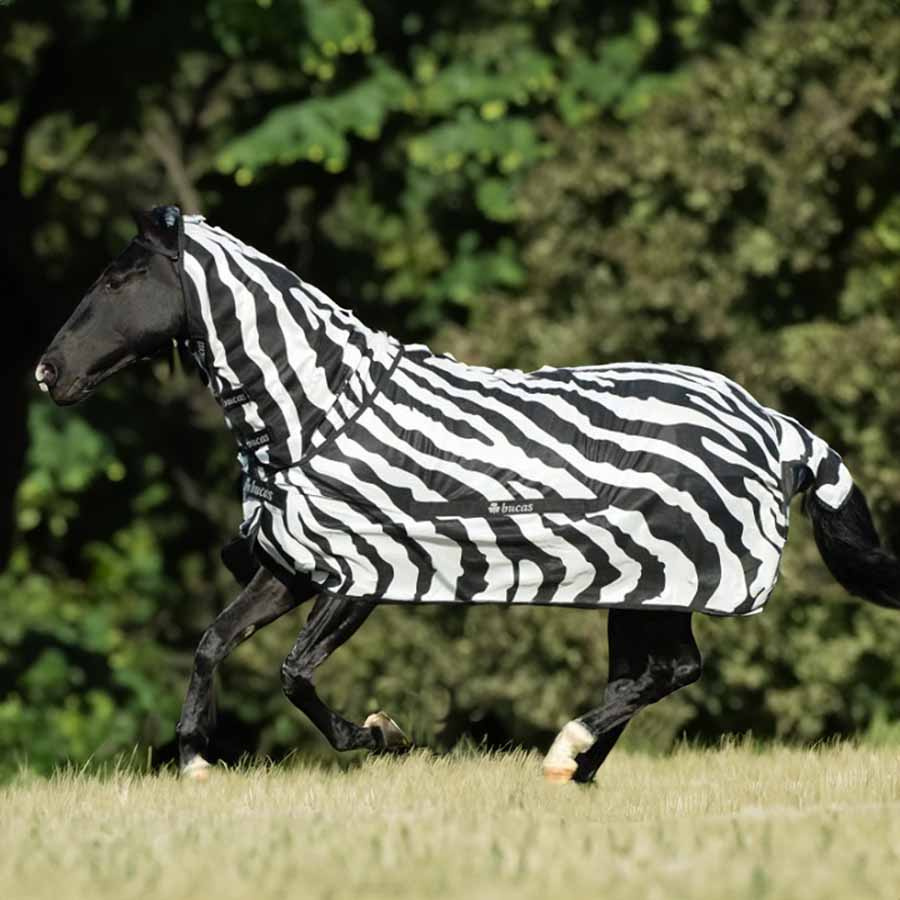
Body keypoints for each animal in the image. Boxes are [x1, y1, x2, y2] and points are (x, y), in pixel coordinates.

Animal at [36, 206, 900, 783]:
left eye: (121, 277)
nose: (47, 372)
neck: (317, 411)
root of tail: (772, 423)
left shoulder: (360, 576)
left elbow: (293, 672)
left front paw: (380, 733)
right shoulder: (290, 567)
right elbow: (214, 642)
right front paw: (193, 759)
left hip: (669, 577)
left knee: (669, 673)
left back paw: (566, 752)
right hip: (639, 588)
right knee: (653, 673)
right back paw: (575, 768)